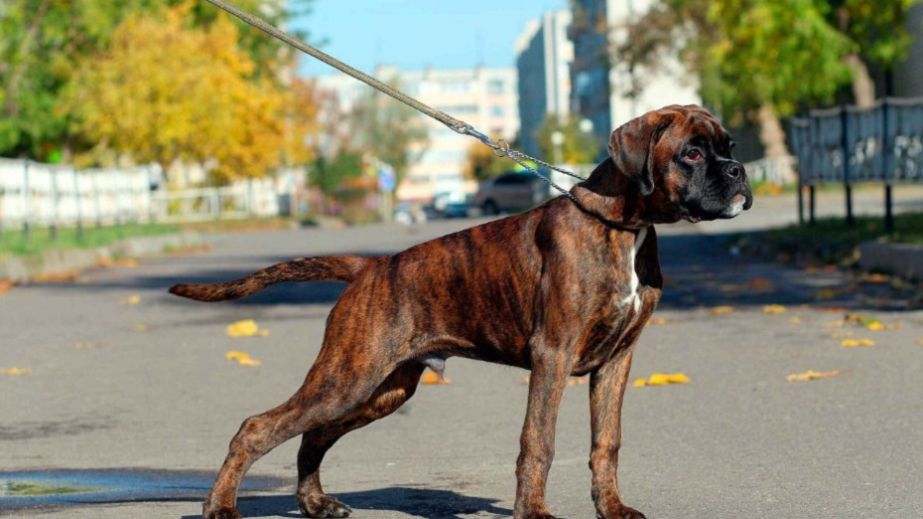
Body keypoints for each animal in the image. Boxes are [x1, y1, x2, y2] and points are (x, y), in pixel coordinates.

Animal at [171, 103, 752, 516]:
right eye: (691, 154)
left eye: (728, 146)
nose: (739, 171)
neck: (621, 227)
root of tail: (371, 266)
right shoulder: (554, 355)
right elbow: (538, 440)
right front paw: (533, 512)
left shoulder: (616, 362)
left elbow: (605, 442)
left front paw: (611, 508)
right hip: (348, 378)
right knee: (258, 427)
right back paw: (220, 506)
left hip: (381, 389)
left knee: (313, 435)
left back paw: (315, 503)